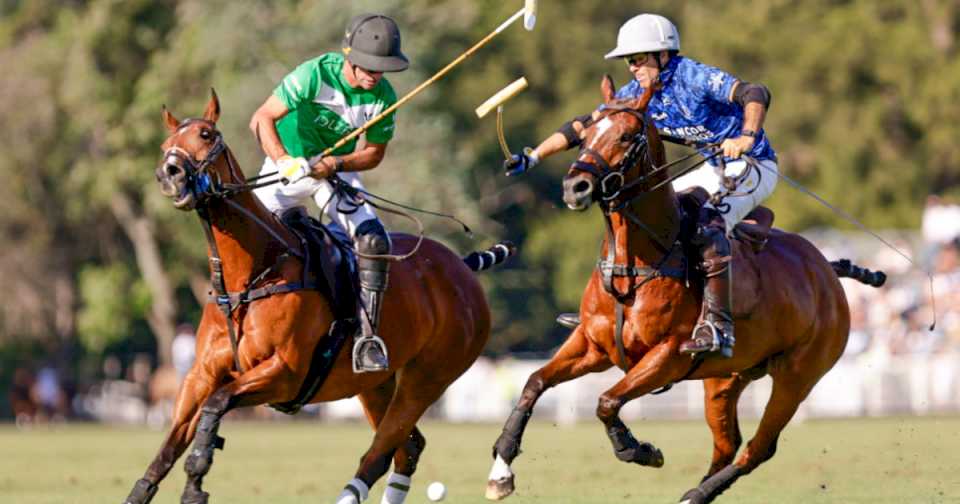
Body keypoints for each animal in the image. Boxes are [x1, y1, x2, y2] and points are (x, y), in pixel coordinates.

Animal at [124, 89, 512, 504]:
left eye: (206, 134)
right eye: (165, 144)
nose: (170, 174)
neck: (251, 277)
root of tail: (462, 266)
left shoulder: (285, 373)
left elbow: (215, 408)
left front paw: (196, 482)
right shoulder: (200, 375)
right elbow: (168, 446)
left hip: (428, 377)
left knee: (380, 453)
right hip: (376, 384)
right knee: (407, 449)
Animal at [484, 77, 880, 502]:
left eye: (627, 135)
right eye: (586, 133)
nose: (575, 187)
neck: (633, 264)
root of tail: (826, 269)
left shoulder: (668, 354)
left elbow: (606, 402)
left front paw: (638, 449)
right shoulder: (592, 345)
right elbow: (534, 383)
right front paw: (501, 470)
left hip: (798, 375)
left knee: (758, 448)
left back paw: (696, 494)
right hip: (725, 379)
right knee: (727, 444)